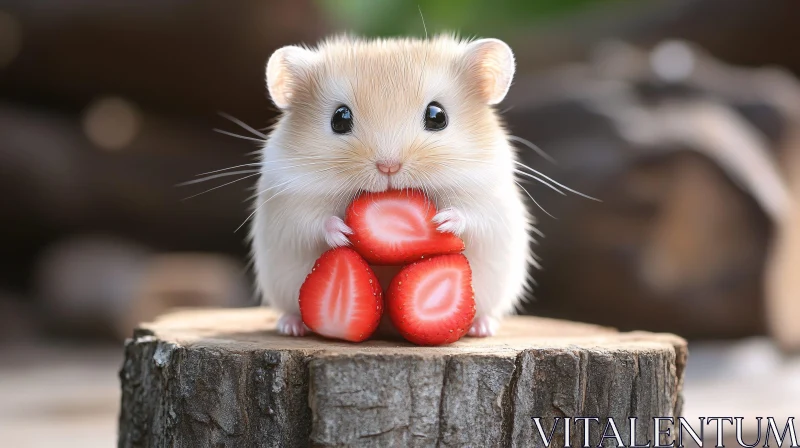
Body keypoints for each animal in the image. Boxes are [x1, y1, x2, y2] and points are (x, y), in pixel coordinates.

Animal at [252, 35, 532, 336]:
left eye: (437, 116)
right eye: (340, 118)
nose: (389, 166)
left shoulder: (490, 196)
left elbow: (473, 215)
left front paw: (442, 222)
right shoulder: (289, 200)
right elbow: (311, 222)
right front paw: (344, 232)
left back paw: (483, 328)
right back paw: (291, 327)